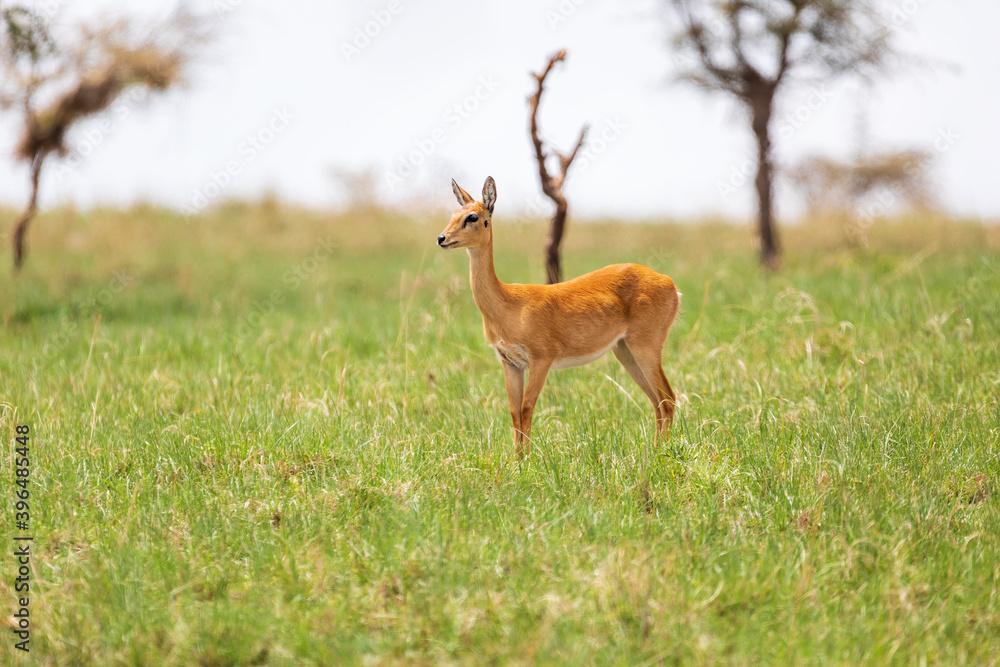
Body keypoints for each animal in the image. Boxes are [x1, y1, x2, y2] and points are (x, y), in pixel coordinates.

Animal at [438, 176, 681, 458]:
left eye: (473, 216)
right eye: (453, 213)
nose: (442, 238)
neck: (508, 303)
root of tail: (670, 283)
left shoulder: (541, 359)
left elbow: (527, 408)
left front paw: (528, 461)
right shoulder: (510, 363)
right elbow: (514, 412)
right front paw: (517, 460)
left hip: (645, 347)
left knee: (668, 397)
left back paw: (662, 454)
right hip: (624, 350)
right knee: (656, 401)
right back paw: (654, 451)